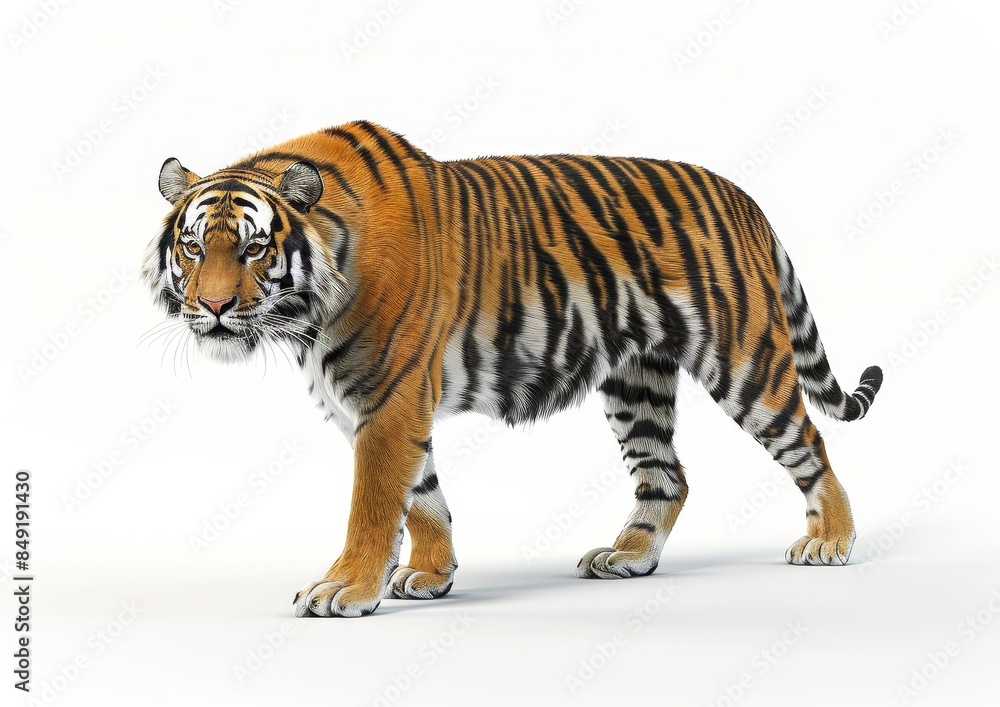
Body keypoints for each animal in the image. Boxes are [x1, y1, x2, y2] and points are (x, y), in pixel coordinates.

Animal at [142, 120, 883, 618]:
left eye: (253, 249)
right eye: (191, 245)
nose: (213, 307)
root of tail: (742, 197)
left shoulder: (389, 400)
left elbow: (373, 504)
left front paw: (345, 587)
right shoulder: (384, 406)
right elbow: (423, 497)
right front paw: (432, 575)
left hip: (744, 358)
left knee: (810, 444)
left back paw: (830, 540)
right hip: (635, 382)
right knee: (667, 476)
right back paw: (628, 557)